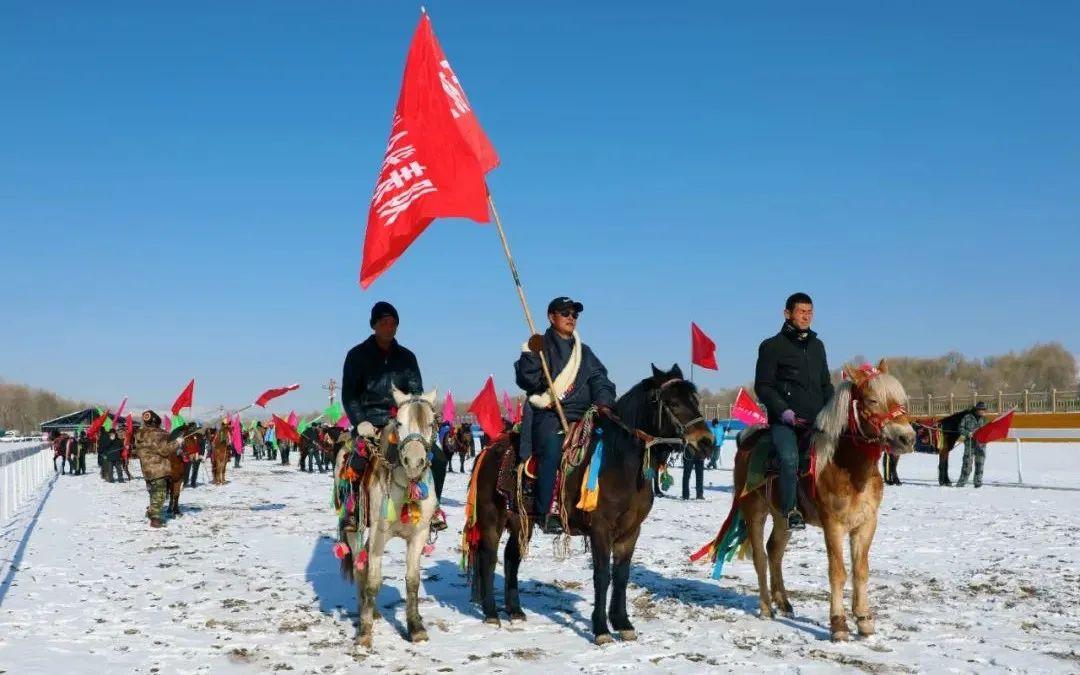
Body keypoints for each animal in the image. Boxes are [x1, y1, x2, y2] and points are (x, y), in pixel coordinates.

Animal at [334, 386, 440, 652]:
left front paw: (416, 628)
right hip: (355, 531)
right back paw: (366, 611)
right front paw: (364, 633)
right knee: (360, 568)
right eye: (399, 422)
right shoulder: (379, 535)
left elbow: (412, 581)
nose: (414, 463)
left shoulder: (419, 535)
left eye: (431, 423)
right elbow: (373, 580)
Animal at [466, 362, 712, 643]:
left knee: (511, 558)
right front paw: (601, 629)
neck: (620, 463)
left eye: (694, 400)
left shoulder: (631, 531)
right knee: (488, 558)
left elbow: (621, 575)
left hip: (521, 522)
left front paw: (623, 623)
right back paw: (491, 613)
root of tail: (489, 451)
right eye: (673, 402)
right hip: (491, 520)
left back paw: (515, 610)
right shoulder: (600, 529)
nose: (706, 442)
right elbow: (602, 575)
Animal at [708, 360, 920, 639]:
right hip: (754, 511)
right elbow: (838, 572)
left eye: (901, 400)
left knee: (774, 550)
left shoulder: (865, 524)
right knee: (760, 557)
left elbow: (861, 571)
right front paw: (838, 624)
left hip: (783, 517)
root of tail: (746, 441)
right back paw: (766, 607)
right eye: (872, 400)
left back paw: (783, 602)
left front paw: (864, 620)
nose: (907, 438)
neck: (848, 467)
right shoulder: (833, 525)